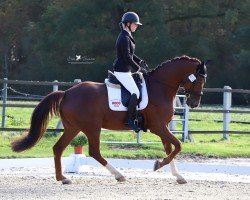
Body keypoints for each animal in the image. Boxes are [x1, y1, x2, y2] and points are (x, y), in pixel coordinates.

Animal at [11, 55, 207, 184]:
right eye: (199, 79)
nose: (194, 103)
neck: (160, 87)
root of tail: (66, 93)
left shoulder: (163, 127)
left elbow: (170, 149)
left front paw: (178, 176)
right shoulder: (158, 127)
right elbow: (178, 146)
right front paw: (158, 164)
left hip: (73, 127)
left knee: (58, 148)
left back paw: (63, 178)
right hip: (92, 128)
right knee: (94, 152)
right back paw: (119, 175)